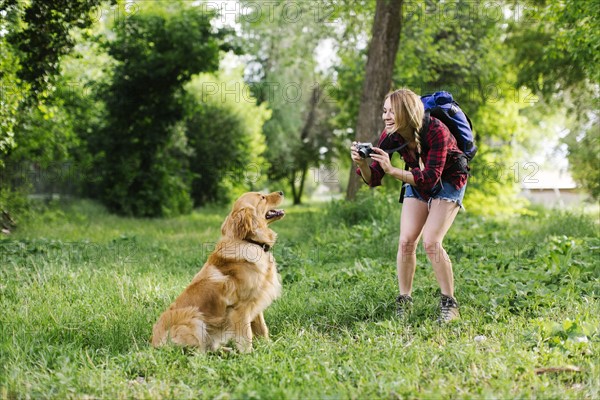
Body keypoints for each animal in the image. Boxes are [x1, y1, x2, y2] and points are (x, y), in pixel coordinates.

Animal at [154, 192, 288, 352]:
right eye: (262, 197)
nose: (281, 192)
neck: (249, 241)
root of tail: (152, 343)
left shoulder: (257, 299)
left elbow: (262, 328)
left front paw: (269, 347)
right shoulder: (240, 308)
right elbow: (246, 336)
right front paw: (249, 354)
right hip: (194, 318)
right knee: (197, 352)